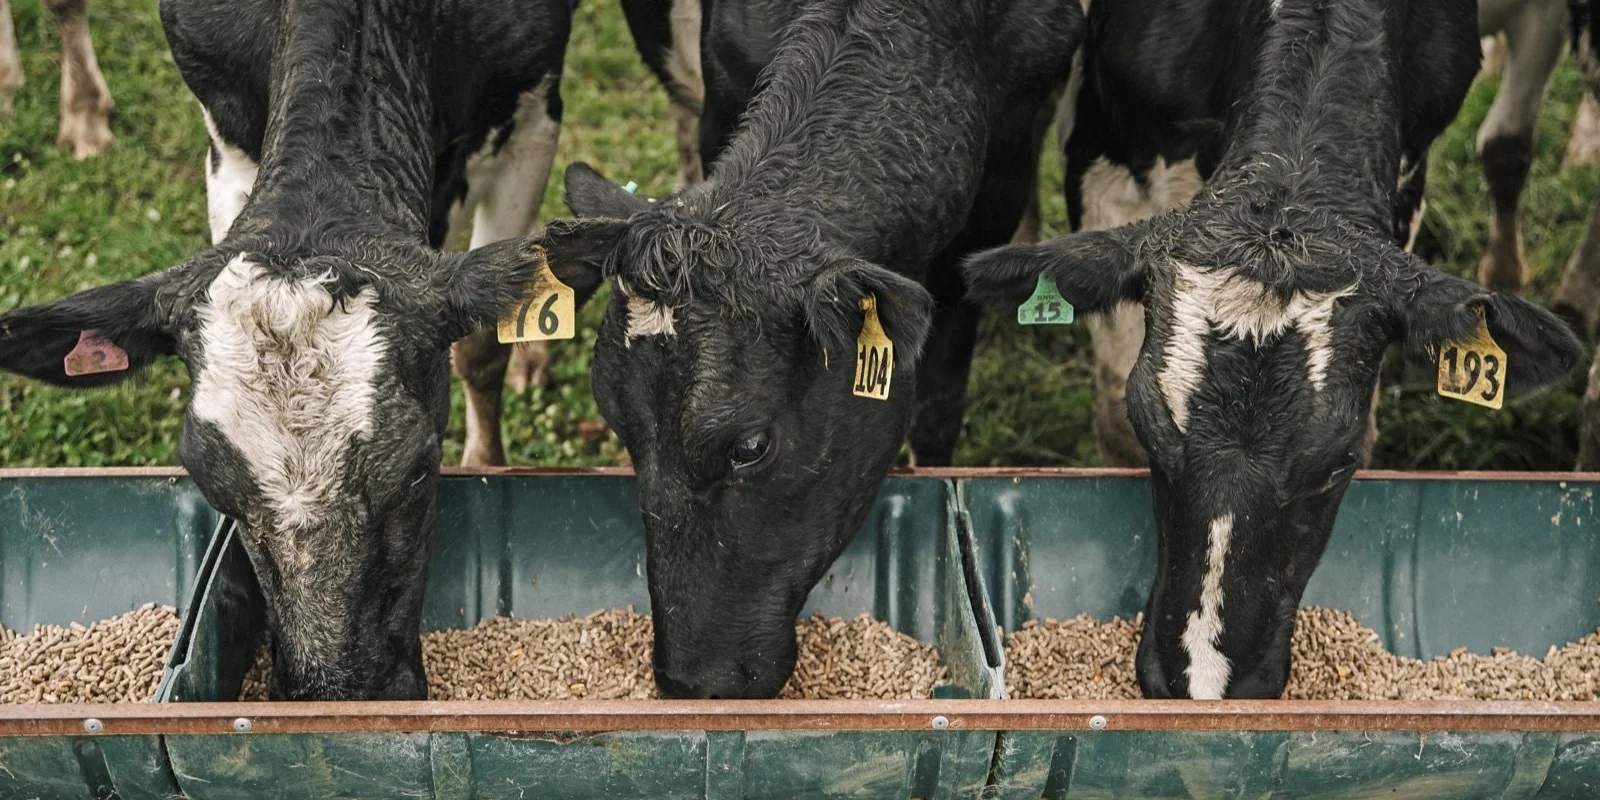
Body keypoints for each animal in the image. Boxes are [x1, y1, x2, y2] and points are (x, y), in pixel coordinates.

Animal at [543, 0, 1081, 698]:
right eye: (619, 427)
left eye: (750, 447)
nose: (689, 680)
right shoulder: (724, 81)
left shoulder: (1003, 169)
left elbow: (938, 406)